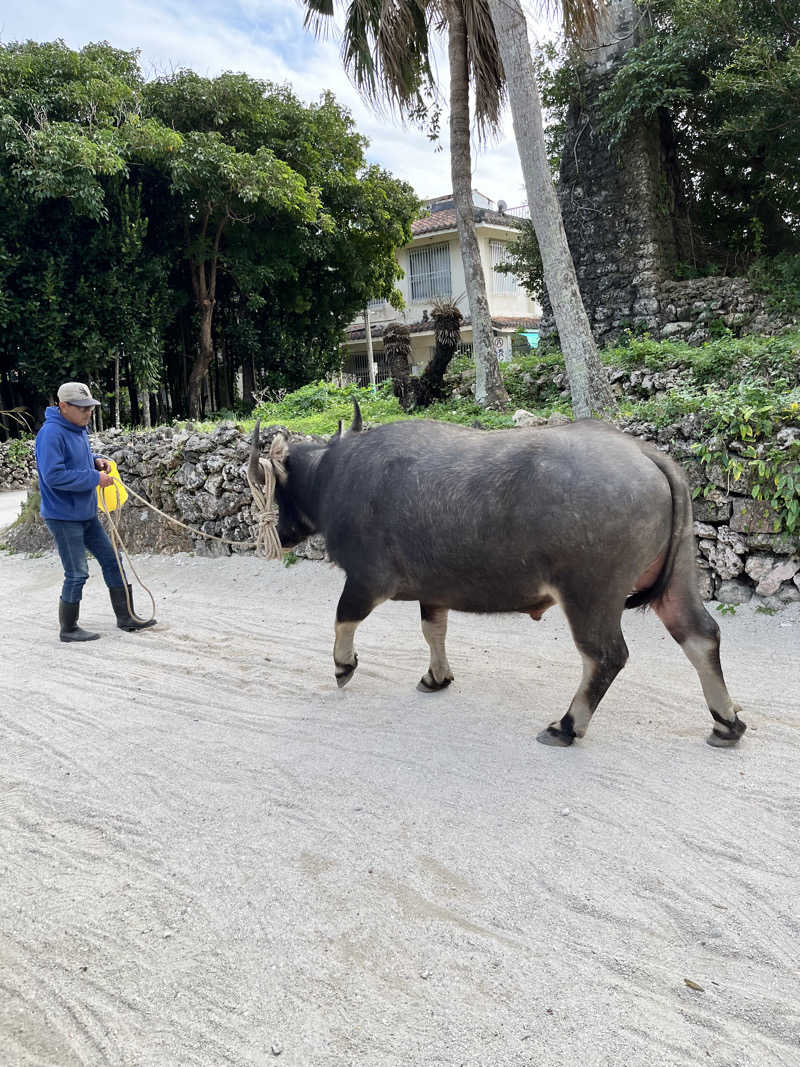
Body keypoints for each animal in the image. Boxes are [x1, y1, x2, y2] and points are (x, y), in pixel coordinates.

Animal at [249, 407, 746, 751]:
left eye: (280, 488)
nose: (283, 534)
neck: (335, 475)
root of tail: (645, 453)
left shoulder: (367, 581)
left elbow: (342, 619)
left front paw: (343, 666)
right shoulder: (434, 590)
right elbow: (433, 630)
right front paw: (437, 678)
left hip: (590, 593)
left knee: (606, 656)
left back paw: (566, 726)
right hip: (677, 578)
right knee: (700, 635)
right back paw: (726, 723)